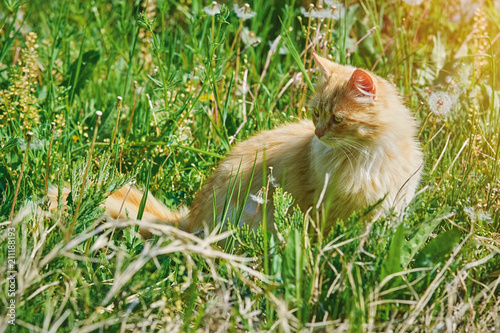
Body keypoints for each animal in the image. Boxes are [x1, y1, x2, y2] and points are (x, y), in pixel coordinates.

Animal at [49, 54, 422, 235]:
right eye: (317, 113)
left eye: (337, 119)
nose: (317, 133)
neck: (368, 157)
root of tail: (189, 222)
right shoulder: (322, 210)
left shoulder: (390, 209)